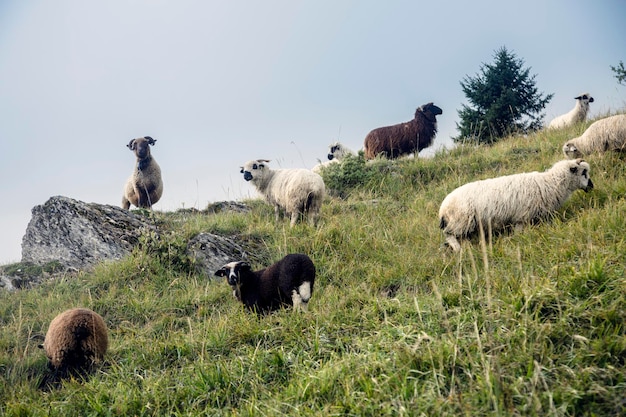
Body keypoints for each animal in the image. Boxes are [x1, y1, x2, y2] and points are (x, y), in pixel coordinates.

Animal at [436, 158, 592, 250]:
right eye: (584, 172)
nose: (592, 186)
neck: (550, 183)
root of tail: (442, 209)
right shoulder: (521, 217)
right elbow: (519, 233)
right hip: (461, 221)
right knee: (449, 235)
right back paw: (458, 249)